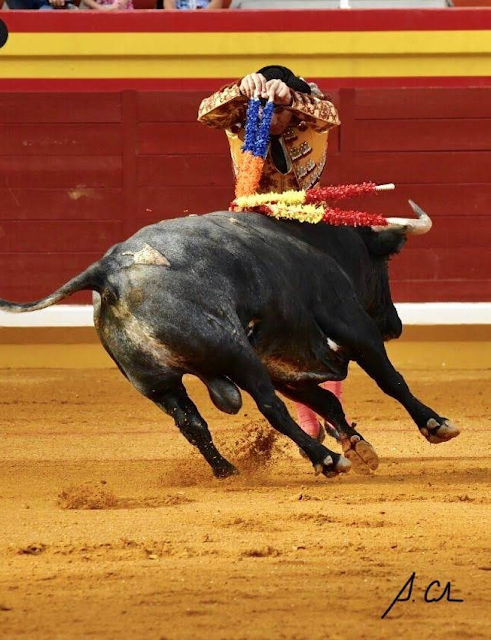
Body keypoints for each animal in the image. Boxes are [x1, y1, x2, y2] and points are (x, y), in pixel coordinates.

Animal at [0, 201, 459, 480]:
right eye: (385, 261)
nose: (394, 324)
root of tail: (107, 270)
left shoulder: (284, 365)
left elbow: (327, 401)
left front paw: (360, 447)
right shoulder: (349, 323)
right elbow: (389, 380)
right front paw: (435, 424)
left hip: (157, 384)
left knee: (191, 423)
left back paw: (227, 472)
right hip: (238, 355)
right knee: (271, 409)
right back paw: (325, 459)